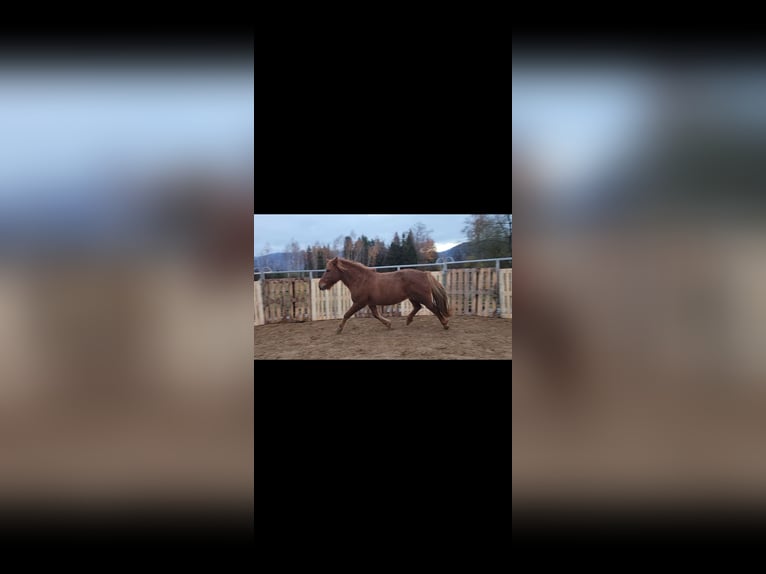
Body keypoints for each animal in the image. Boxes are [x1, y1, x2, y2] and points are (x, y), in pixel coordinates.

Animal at [318, 257, 451, 333]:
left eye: (328, 270)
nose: (320, 285)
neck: (360, 280)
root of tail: (424, 274)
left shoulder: (359, 302)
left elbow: (347, 314)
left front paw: (339, 329)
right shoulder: (370, 303)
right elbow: (376, 315)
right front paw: (388, 324)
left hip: (424, 298)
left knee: (434, 308)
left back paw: (445, 324)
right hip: (413, 297)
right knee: (418, 307)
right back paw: (408, 320)